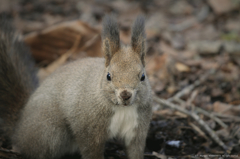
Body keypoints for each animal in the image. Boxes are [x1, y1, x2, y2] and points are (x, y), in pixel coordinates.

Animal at [0, 15, 152, 159]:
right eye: (109, 76)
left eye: (143, 76)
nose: (125, 94)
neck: (122, 108)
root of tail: (19, 128)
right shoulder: (88, 129)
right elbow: (91, 151)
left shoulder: (137, 128)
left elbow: (135, 150)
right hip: (49, 133)